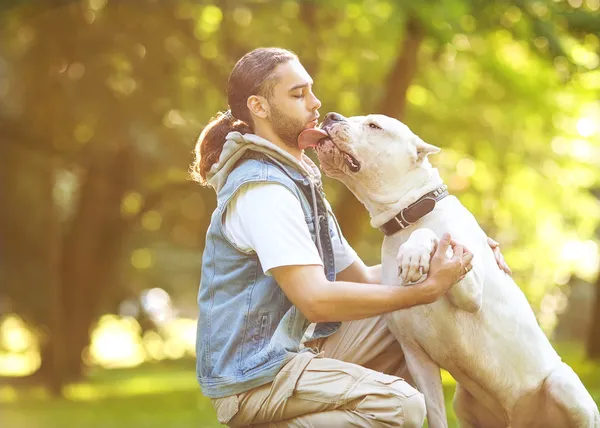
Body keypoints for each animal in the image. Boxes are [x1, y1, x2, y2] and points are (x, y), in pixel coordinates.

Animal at [298, 113, 596, 428]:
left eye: (374, 126)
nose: (331, 116)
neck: (409, 216)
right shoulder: (417, 358)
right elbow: (436, 415)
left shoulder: (471, 292)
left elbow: (434, 235)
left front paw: (415, 252)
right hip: (463, 400)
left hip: (565, 388)